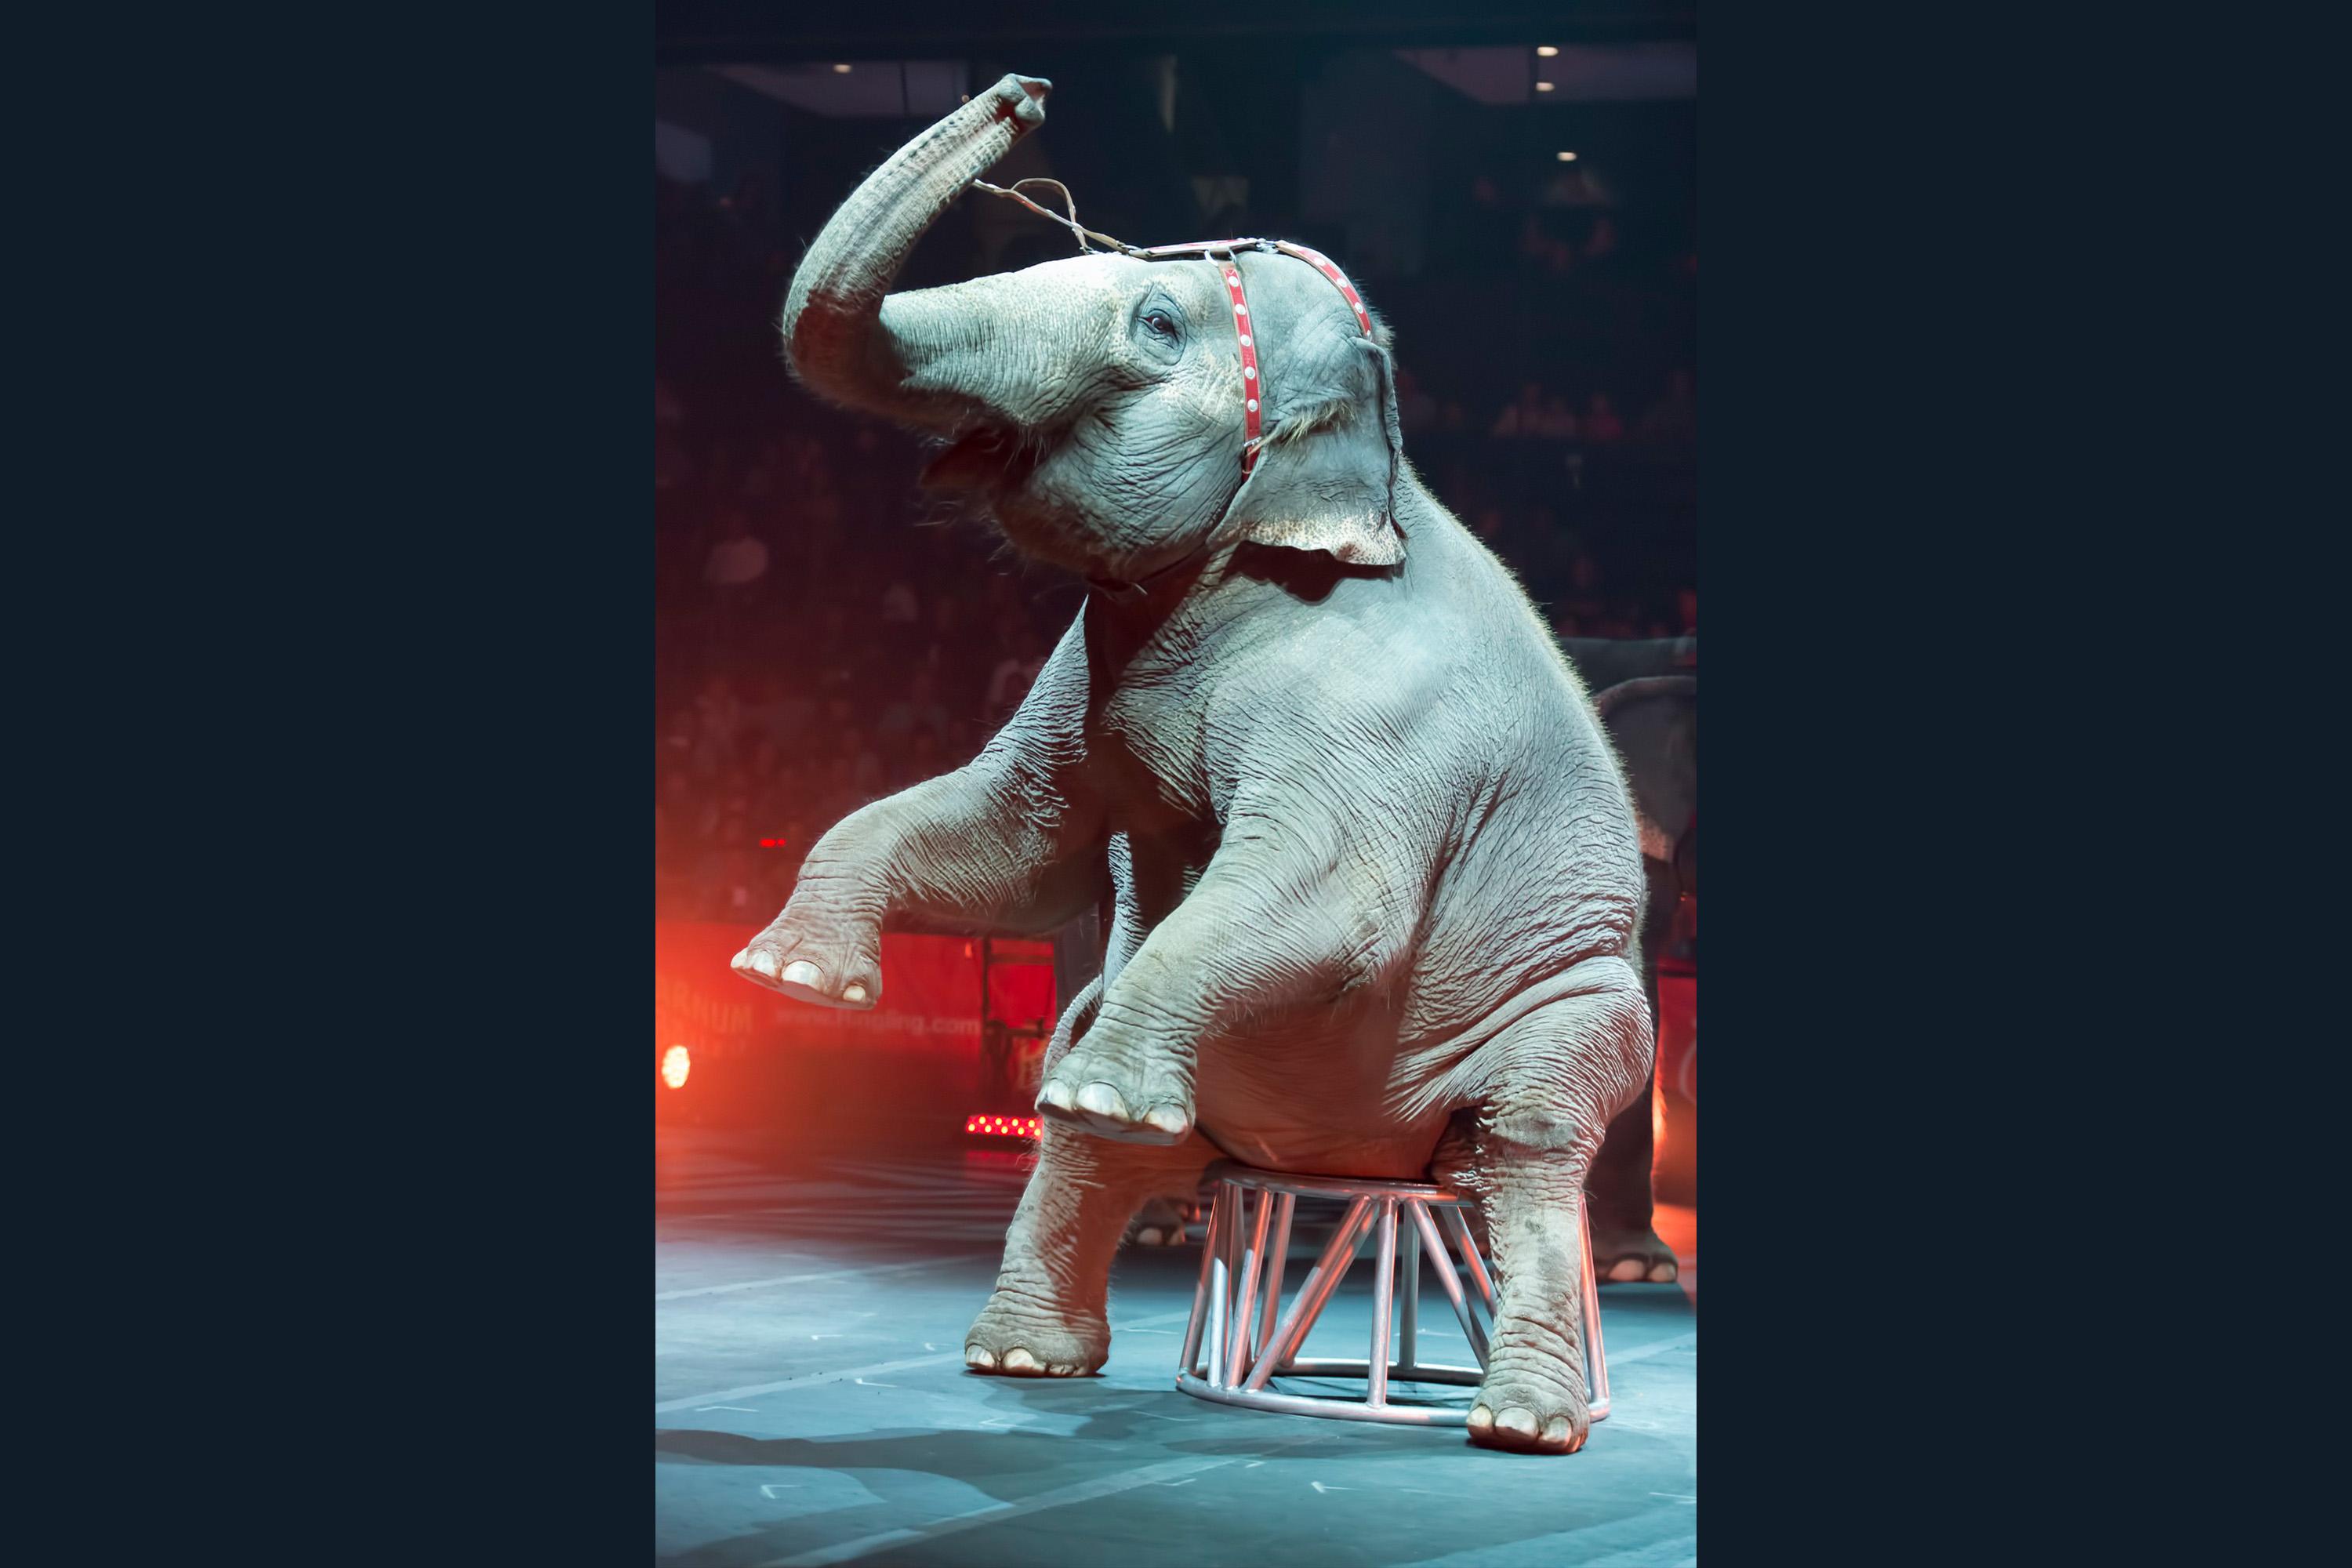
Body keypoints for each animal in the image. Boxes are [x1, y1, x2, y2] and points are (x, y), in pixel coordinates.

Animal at [729, 74, 1652, 1454]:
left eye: (1159, 321)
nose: (1022, 93)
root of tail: (1361, 1169)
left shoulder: (1376, 708)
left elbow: (1329, 899)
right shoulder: (1084, 673)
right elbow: (1019, 844)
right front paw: (790, 978)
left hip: (1588, 1008)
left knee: (1527, 1145)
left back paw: (1523, 1425)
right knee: (1093, 1143)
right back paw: (1023, 1352)